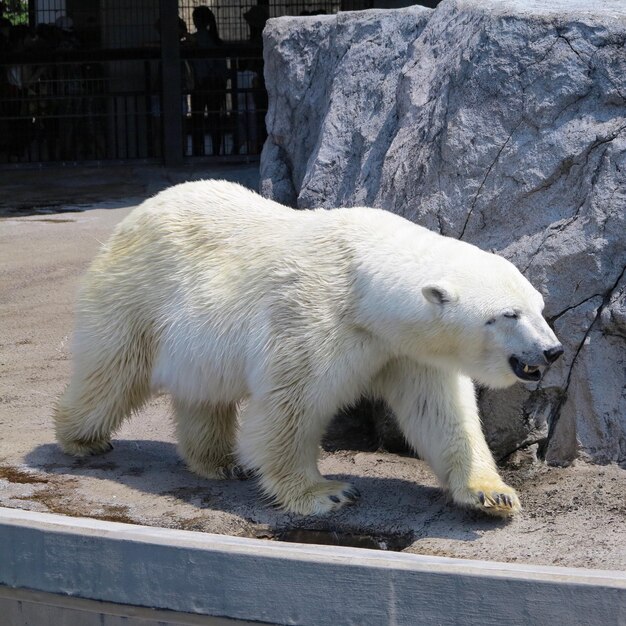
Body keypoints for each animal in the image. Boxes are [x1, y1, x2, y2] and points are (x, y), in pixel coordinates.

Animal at [52, 179, 560, 516]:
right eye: (508, 314)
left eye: (539, 306)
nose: (552, 351)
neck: (364, 284)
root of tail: (135, 215)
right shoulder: (312, 319)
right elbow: (290, 406)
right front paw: (326, 492)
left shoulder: (405, 347)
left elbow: (438, 411)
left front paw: (492, 493)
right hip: (138, 296)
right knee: (113, 370)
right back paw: (81, 438)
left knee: (203, 393)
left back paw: (219, 462)